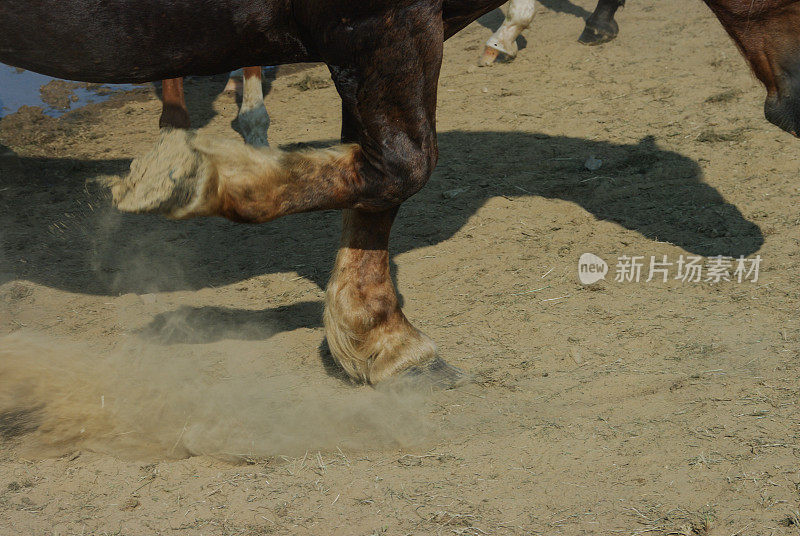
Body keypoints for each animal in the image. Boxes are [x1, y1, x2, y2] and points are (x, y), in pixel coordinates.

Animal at [0, 0, 796, 386]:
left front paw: (380, 341)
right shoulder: (381, 29)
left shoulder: (378, 44)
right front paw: (190, 175)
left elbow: (374, 179)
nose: (798, 105)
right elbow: (403, 165)